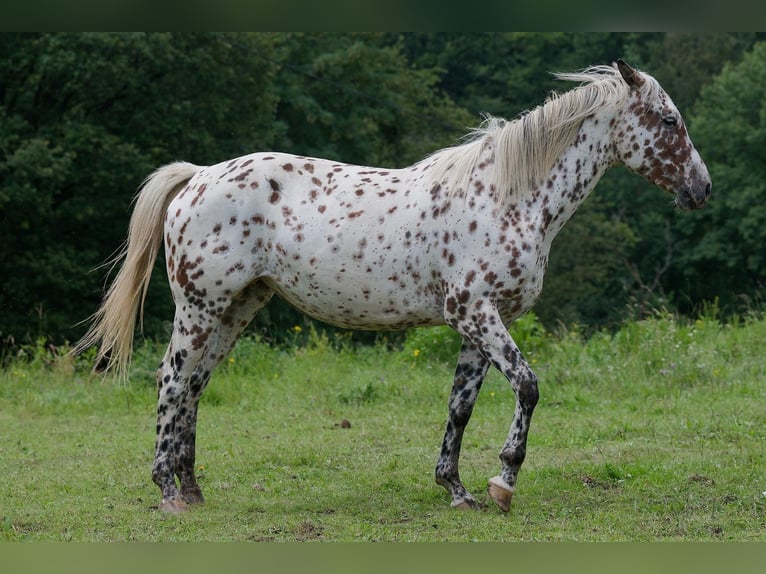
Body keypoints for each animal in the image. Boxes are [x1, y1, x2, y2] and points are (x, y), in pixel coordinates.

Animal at [73, 60, 712, 516]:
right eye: (668, 120)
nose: (702, 188)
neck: (507, 198)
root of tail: (198, 177)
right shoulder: (475, 312)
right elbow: (528, 387)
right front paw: (504, 480)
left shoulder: (478, 324)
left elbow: (460, 406)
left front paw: (459, 490)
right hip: (199, 309)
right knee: (171, 380)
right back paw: (168, 494)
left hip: (235, 310)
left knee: (195, 387)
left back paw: (193, 489)